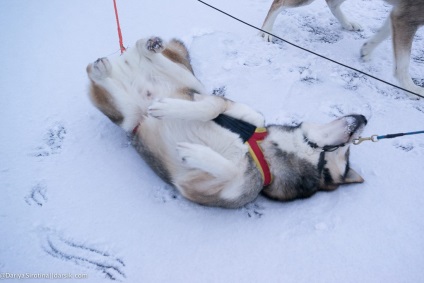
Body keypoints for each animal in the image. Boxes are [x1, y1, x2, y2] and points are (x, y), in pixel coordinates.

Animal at [87, 36, 368, 209]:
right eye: (349, 151)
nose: (364, 118)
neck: (262, 153)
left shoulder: (197, 187)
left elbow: (229, 169)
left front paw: (195, 153)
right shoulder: (238, 109)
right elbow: (212, 107)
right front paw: (171, 108)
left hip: (127, 116)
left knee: (101, 81)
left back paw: (103, 70)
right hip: (190, 84)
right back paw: (147, 48)